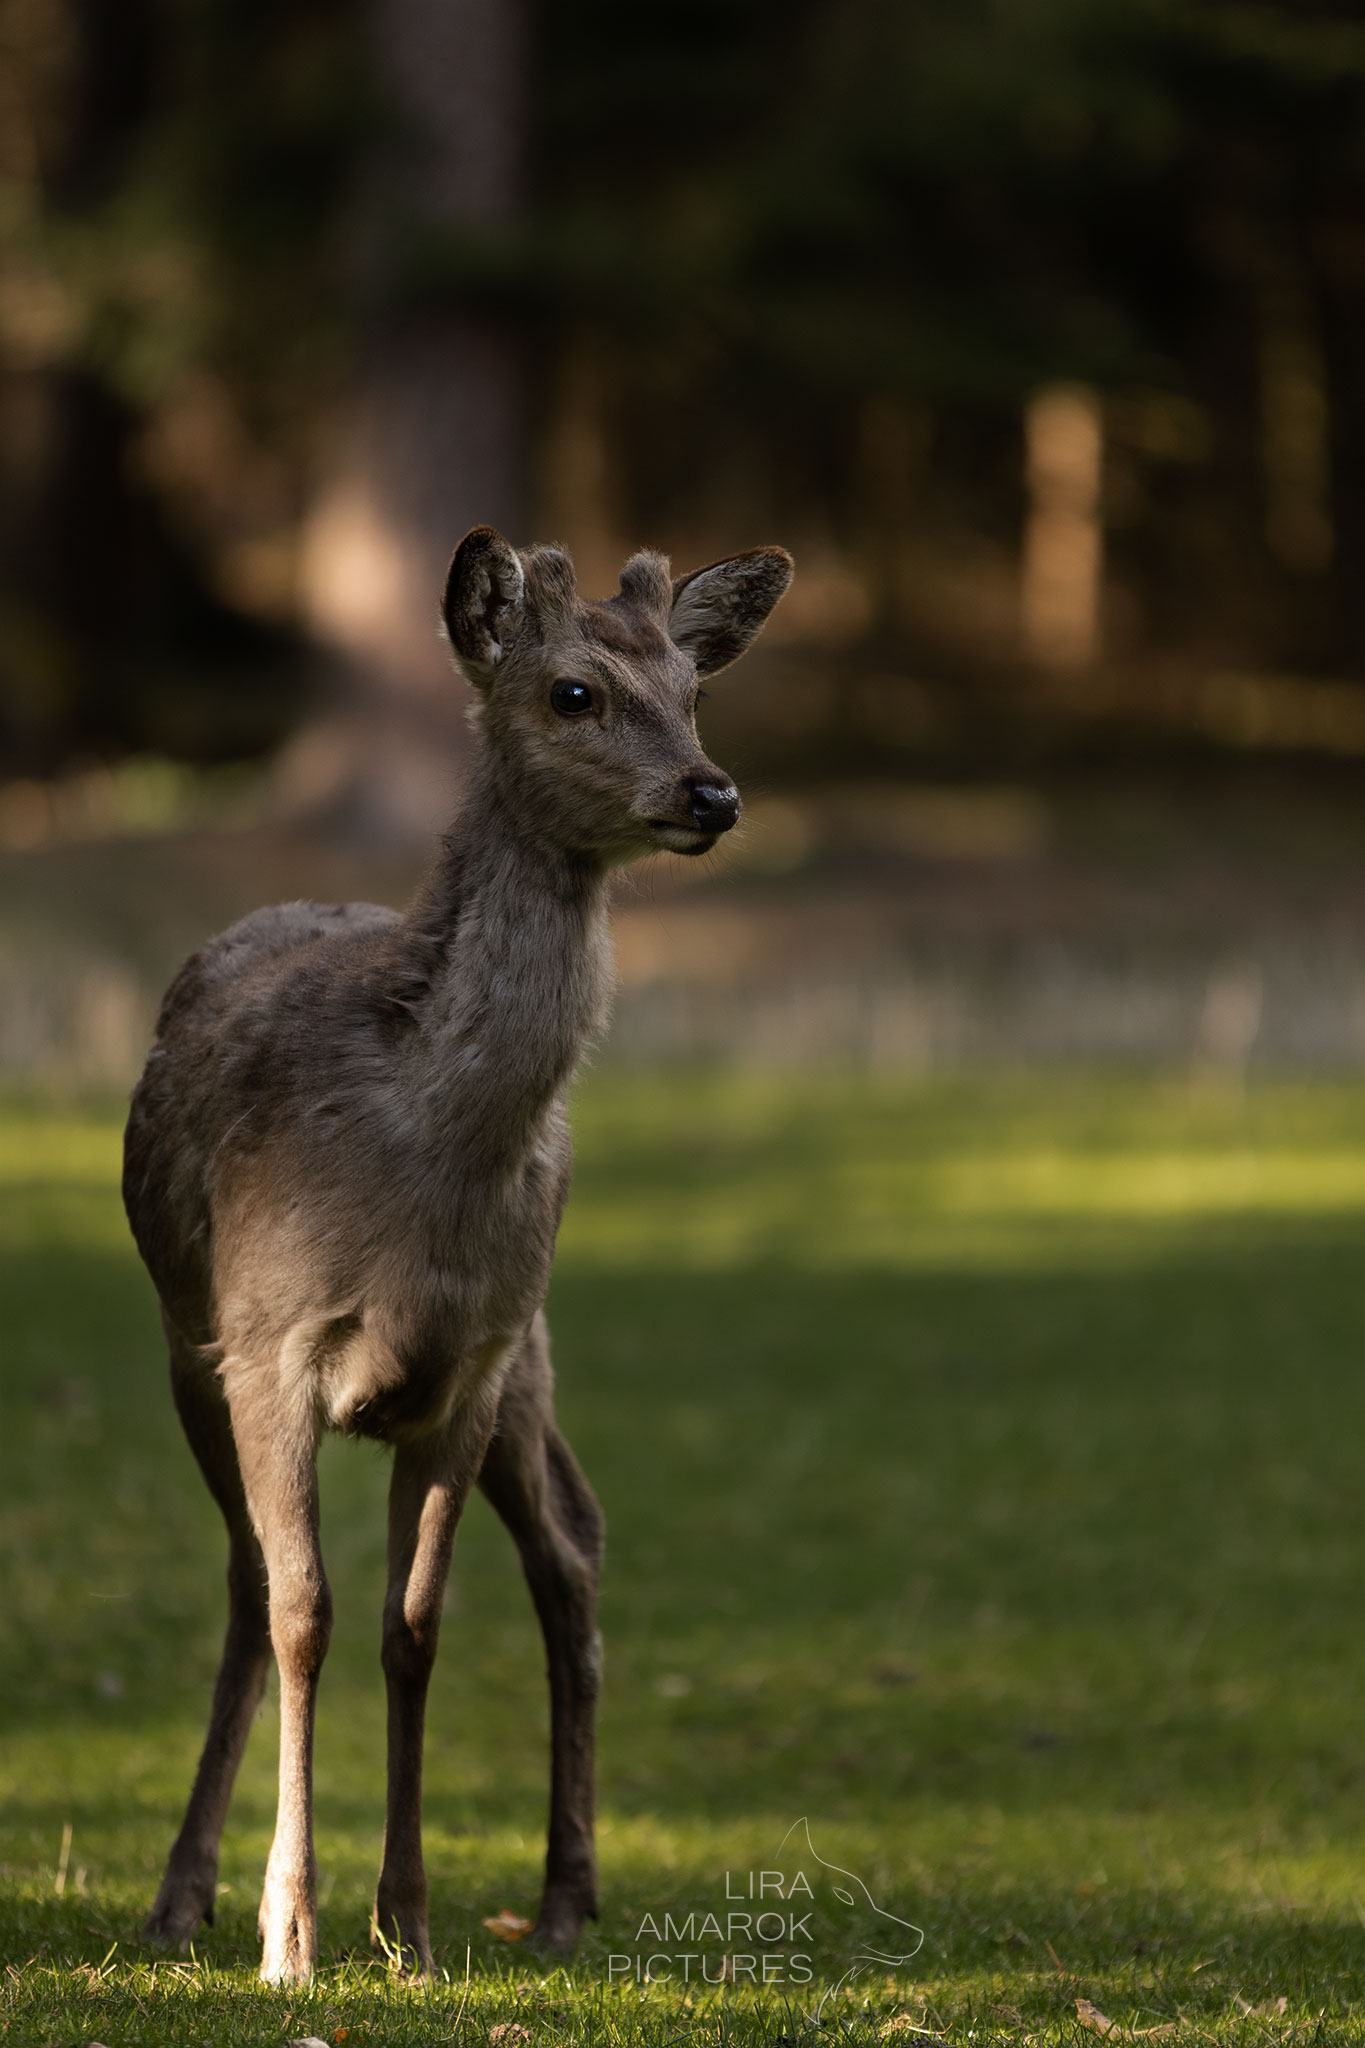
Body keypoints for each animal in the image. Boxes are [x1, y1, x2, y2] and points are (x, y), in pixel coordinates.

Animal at [127, 528, 794, 1982]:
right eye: (572, 692)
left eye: (693, 690)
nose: (711, 790)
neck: (422, 1154)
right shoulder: (270, 1339)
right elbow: (306, 1609)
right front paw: (291, 1934)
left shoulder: (467, 1364)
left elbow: (412, 1622)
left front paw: (410, 1925)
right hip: (188, 1348)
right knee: (246, 1578)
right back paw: (179, 1895)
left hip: (531, 1345)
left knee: (572, 1538)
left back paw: (565, 1897)